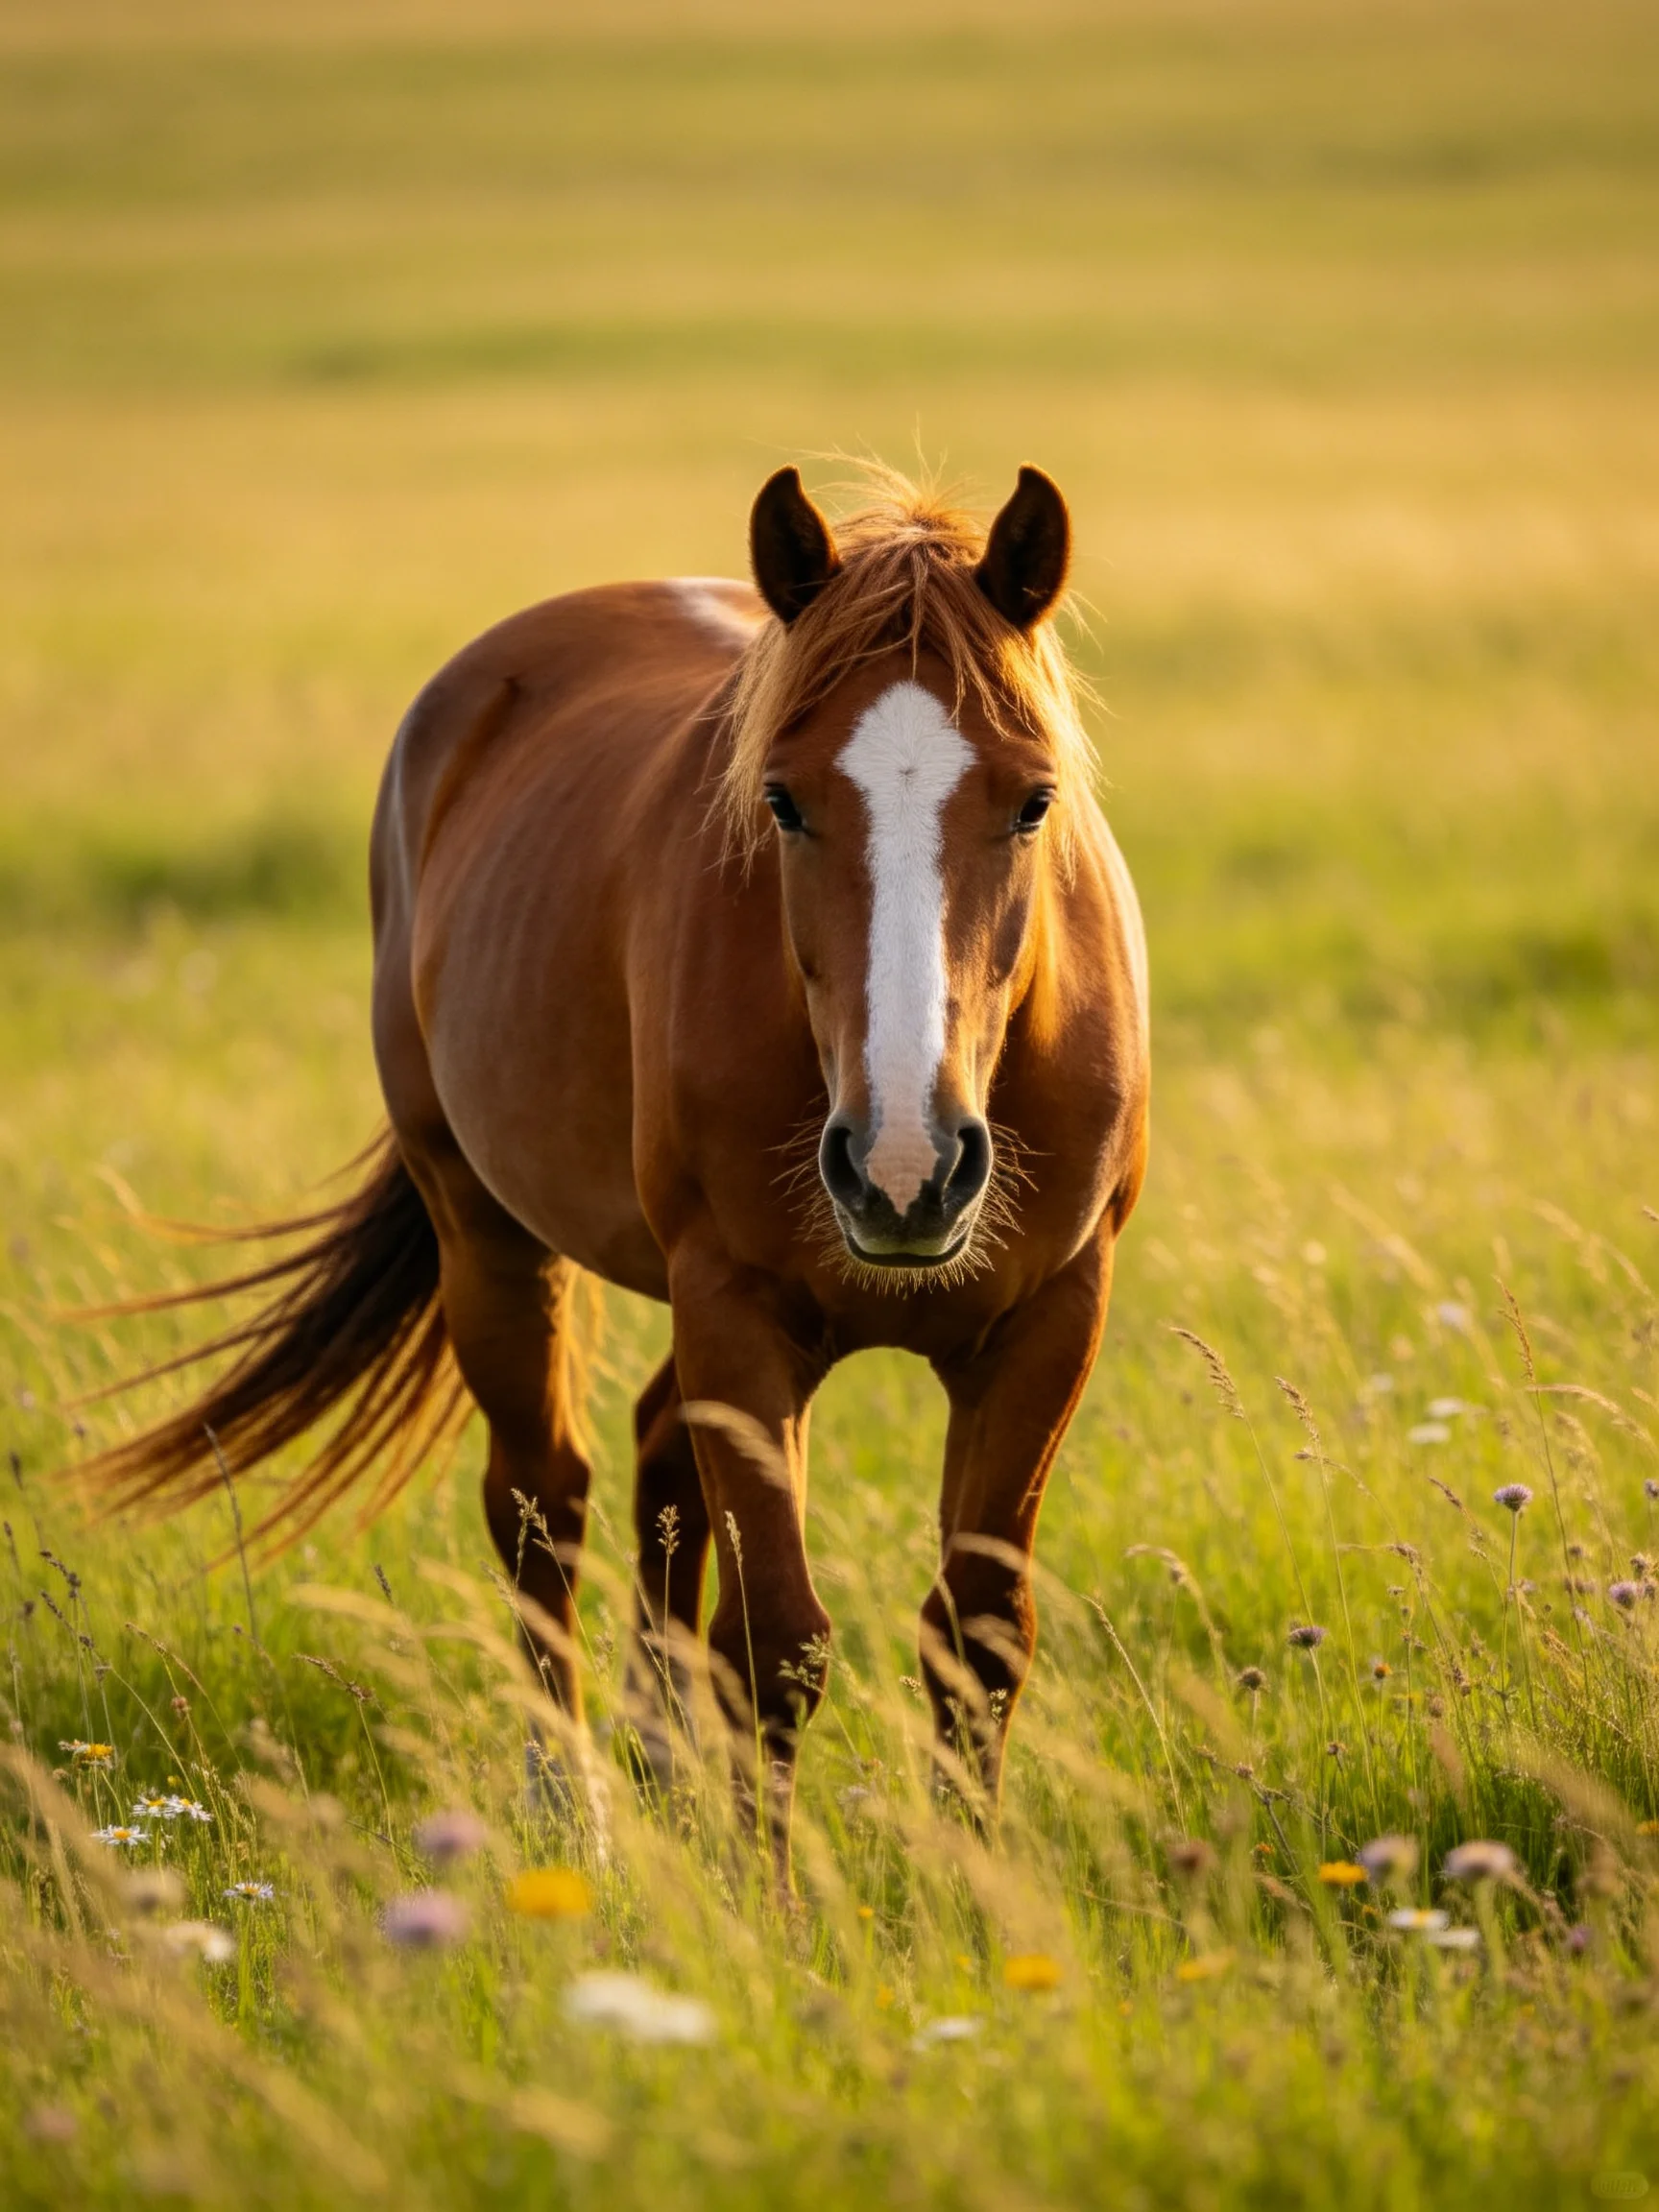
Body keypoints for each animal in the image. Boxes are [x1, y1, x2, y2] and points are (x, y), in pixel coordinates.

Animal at [76, 461, 1150, 1874]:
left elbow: (977, 1635)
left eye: (1032, 801)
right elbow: (775, 1645)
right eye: (784, 800)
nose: (905, 1171)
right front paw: (770, 1906)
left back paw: (654, 1763)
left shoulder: (1047, 1320)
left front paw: (970, 1902)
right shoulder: (739, 1312)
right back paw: (568, 1804)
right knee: (546, 1496)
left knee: (652, 1461)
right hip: (487, 1235)